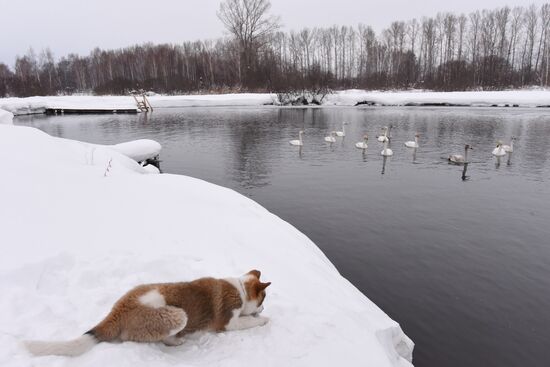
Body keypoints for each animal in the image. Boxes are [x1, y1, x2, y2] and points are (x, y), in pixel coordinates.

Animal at [25, 270, 272, 356]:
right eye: (263, 299)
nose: (263, 308)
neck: (240, 289)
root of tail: (117, 311)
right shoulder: (228, 323)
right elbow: (247, 321)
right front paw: (263, 318)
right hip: (176, 316)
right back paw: (176, 341)